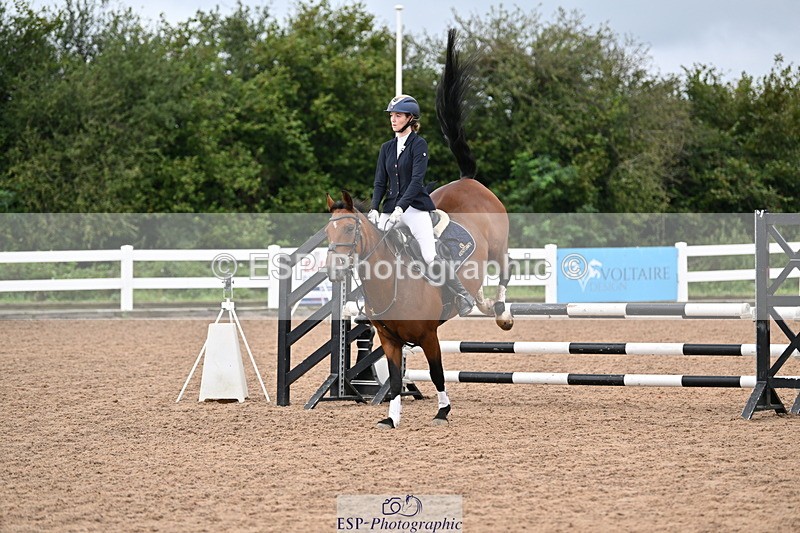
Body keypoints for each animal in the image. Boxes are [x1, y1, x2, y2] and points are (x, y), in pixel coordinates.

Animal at [325, 29, 513, 428]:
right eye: (328, 233)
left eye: (349, 232)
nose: (334, 271)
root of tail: (468, 180)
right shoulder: (391, 342)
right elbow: (396, 380)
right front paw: (392, 417)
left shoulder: (428, 335)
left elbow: (438, 372)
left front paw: (442, 411)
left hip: (499, 245)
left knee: (507, 270)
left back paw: (501, 312)